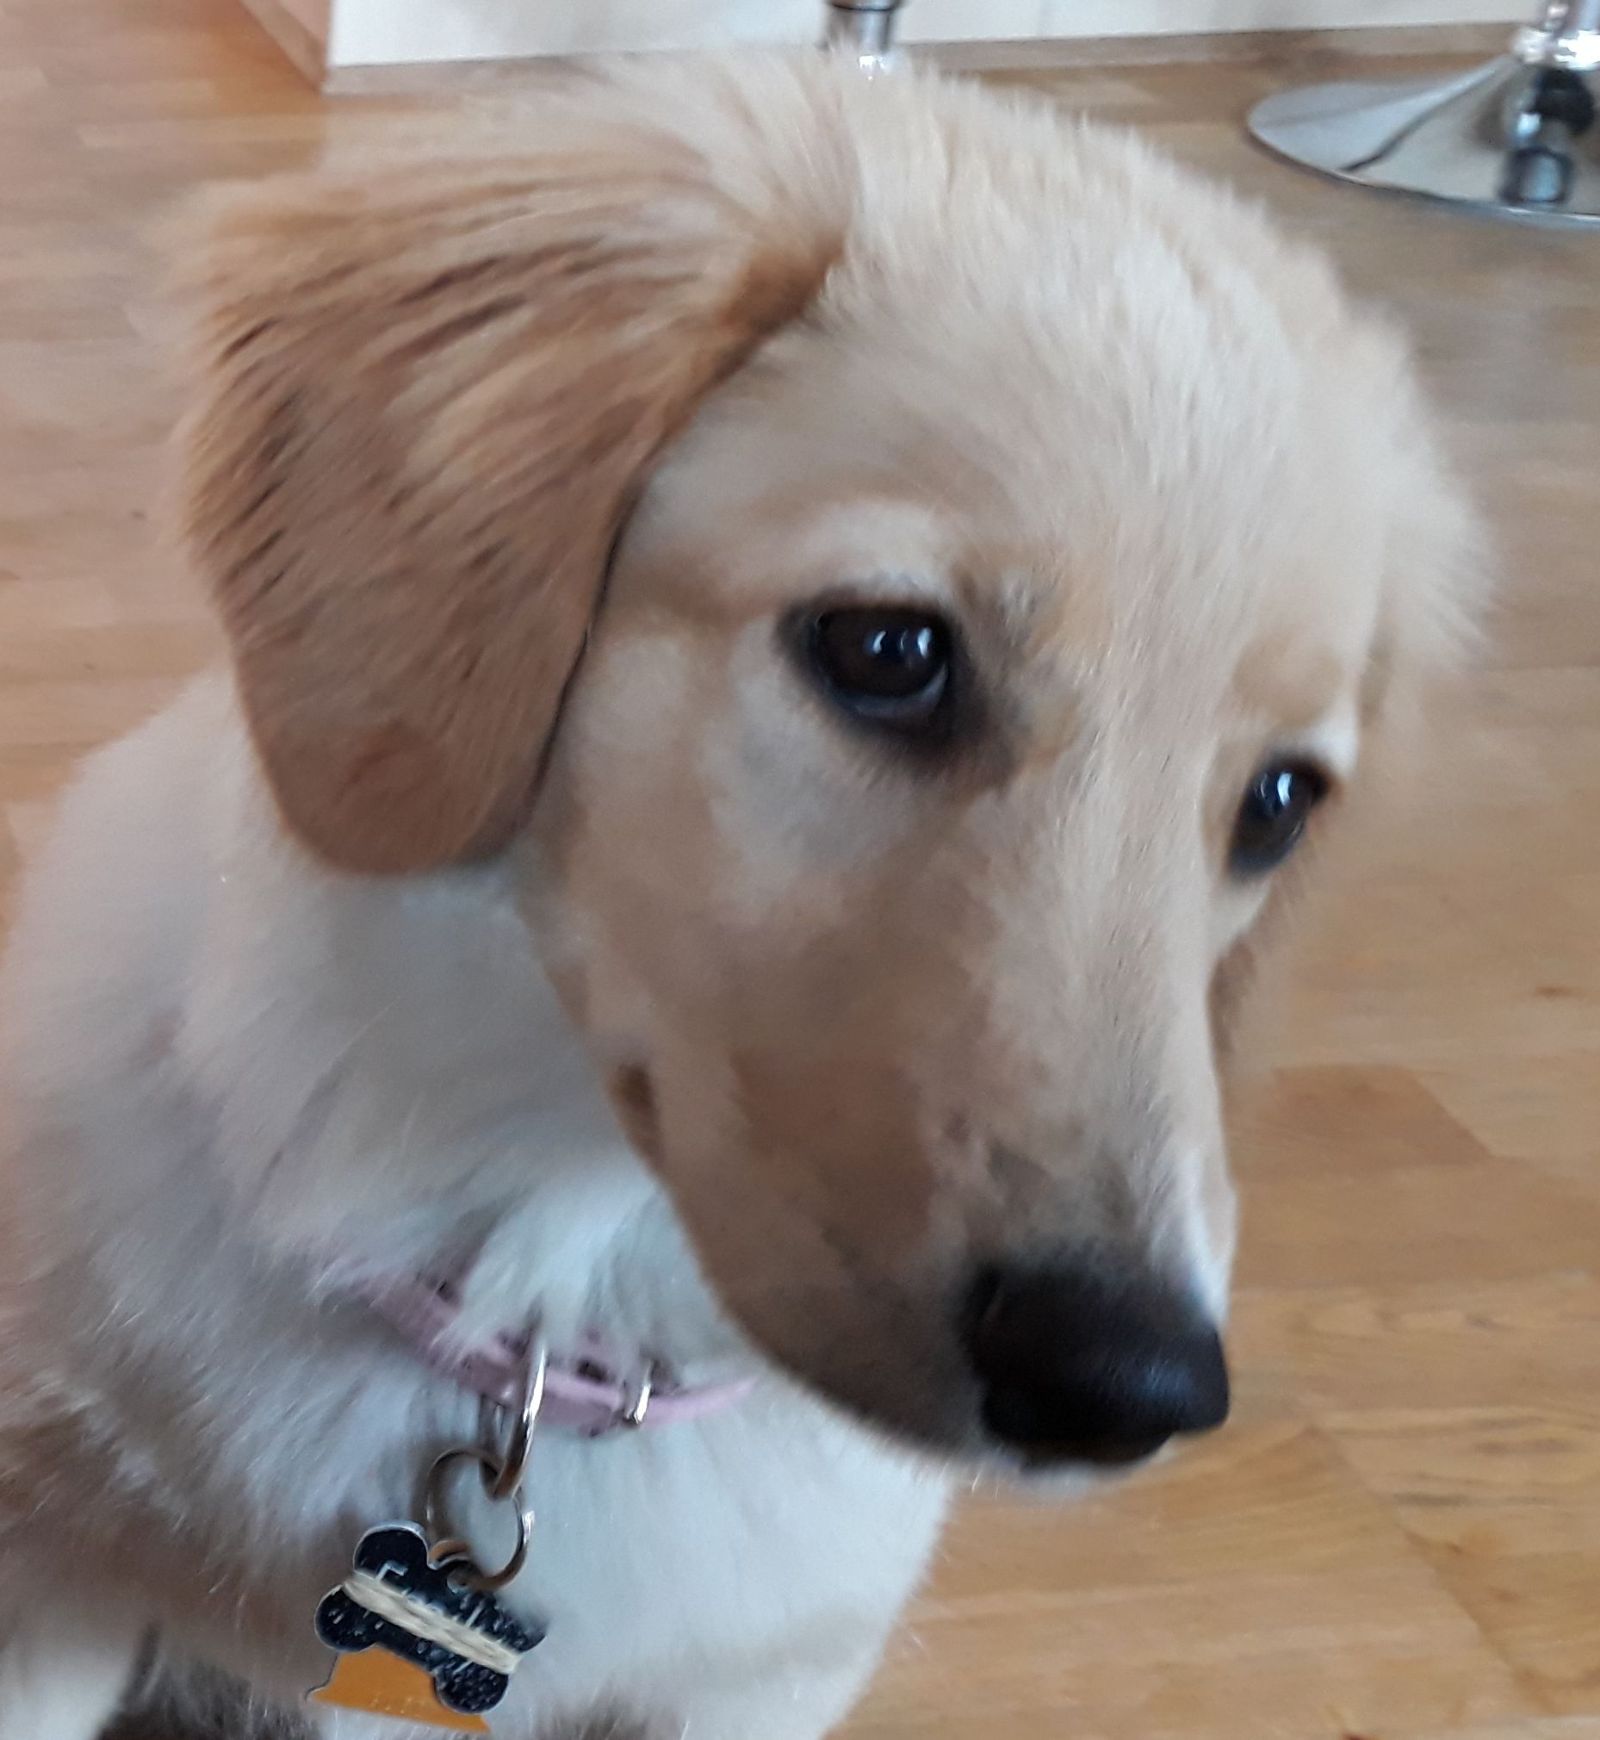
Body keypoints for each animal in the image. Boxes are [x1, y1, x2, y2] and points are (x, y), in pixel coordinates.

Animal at [0, 54, 1479, 1740]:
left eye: (1279, 805)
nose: (1127, 1388)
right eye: (889, 652)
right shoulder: (44, 1575)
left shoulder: (763, 1685)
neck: (545, 1311)